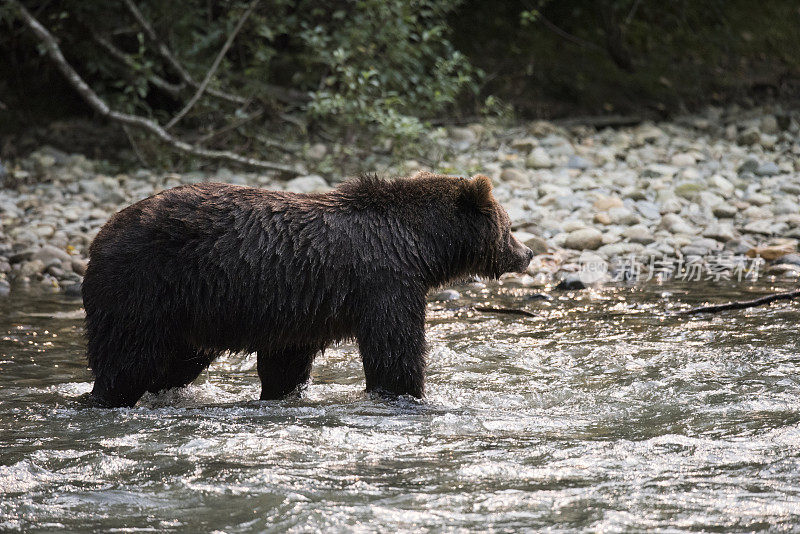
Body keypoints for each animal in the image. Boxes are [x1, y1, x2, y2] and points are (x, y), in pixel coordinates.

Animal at [81, 172, 536, 406]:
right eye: (508, 225)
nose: (528, 253)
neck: (418, 246)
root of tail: (101, 234)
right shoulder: (384, 282)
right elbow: (395, 349)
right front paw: (409, 394)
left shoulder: (297, 308)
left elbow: (286, 362)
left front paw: (281, 393)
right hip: (143, 287)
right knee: (128, 359)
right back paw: (106, 396)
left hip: (187, 314)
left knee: (173, 363)